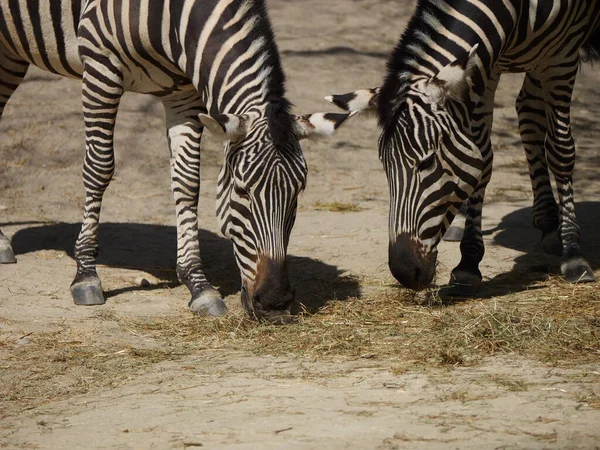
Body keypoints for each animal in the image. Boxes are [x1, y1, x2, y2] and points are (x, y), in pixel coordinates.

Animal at [0, 1, 352, 322]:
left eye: (298, 193)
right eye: (242, 190)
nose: (276, 303)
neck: (172, 19)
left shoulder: (183, 94)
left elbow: (186, 182)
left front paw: (198, 286)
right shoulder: (101, 67)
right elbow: (99, 167)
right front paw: (86, 274)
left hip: (10, 56)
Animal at [328, 0, 600, 294]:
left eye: (426, 162)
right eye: (385, 167)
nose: (404, 272)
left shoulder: (563, 57)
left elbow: (561, 151)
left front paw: (573, 254)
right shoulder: (486, 66)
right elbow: (482, 157)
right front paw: (469, 261)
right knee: (528, 110)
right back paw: (545, 223)